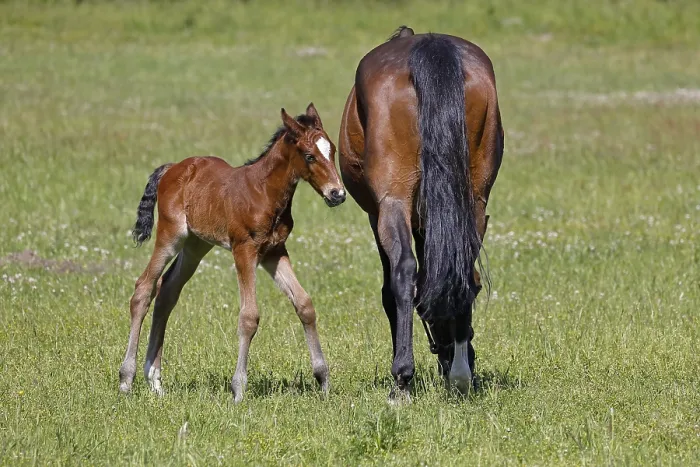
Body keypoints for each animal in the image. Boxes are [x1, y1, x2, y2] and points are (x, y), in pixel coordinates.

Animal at [118, 104, 346, 402]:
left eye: (332, 151)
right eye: (309, 156)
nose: (337, 194)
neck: (265, 192)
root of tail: (173, 168)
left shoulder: (274, 251)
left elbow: (304, 304)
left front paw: (323, 380)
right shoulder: (244, 250)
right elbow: (249, 317)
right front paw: (238, 389)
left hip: (196, 245)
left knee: (167, 291)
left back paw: (155, 381)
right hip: (171, 236)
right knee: (144, 288)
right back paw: (126, 379)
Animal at [338, 27, 504, 399]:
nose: (446, 354)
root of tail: (429, 45)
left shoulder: (377, 214)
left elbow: (391, 289)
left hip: (392, 202)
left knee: (403, 271)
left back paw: (403, 379)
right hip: (473, 201)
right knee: (464, 270)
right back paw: (460, 375)